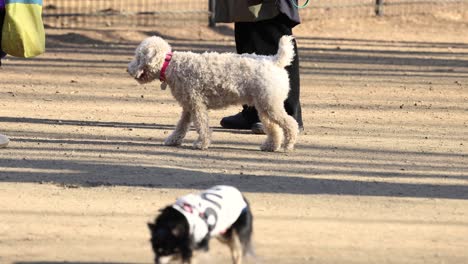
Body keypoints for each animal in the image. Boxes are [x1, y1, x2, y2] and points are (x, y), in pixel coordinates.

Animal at [126, 35, 298, 152]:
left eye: (138, 56)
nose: (128, 70)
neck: (170, 65)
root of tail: (274, 61)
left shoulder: (197, 105)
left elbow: (201, 125)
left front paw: (201, 143)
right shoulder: (188, 106)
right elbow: (181, 126)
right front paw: (173, 140)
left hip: (270, 104)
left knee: (291, 123)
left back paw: (288, 145)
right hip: (264, 106)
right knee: (273, 127)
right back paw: (270, 145)